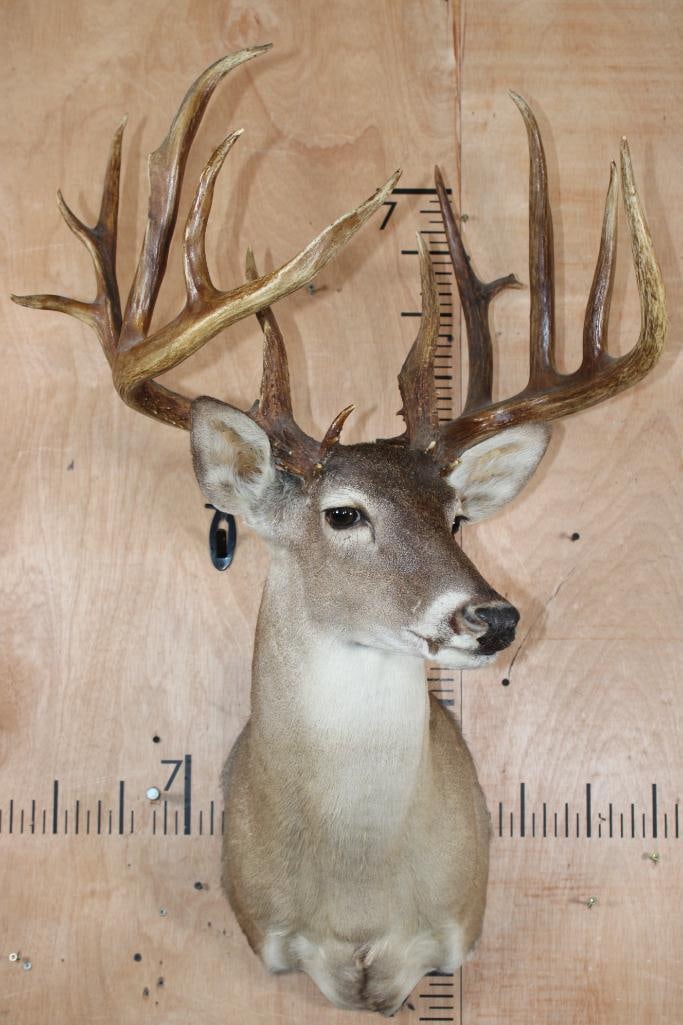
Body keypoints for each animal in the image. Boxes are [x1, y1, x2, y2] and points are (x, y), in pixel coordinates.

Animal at [12, 45, 666, 1017]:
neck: (357, 894)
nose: (494, 618)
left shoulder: (436, 945)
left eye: (455, 514)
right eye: (345, 511)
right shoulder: (286, 950)